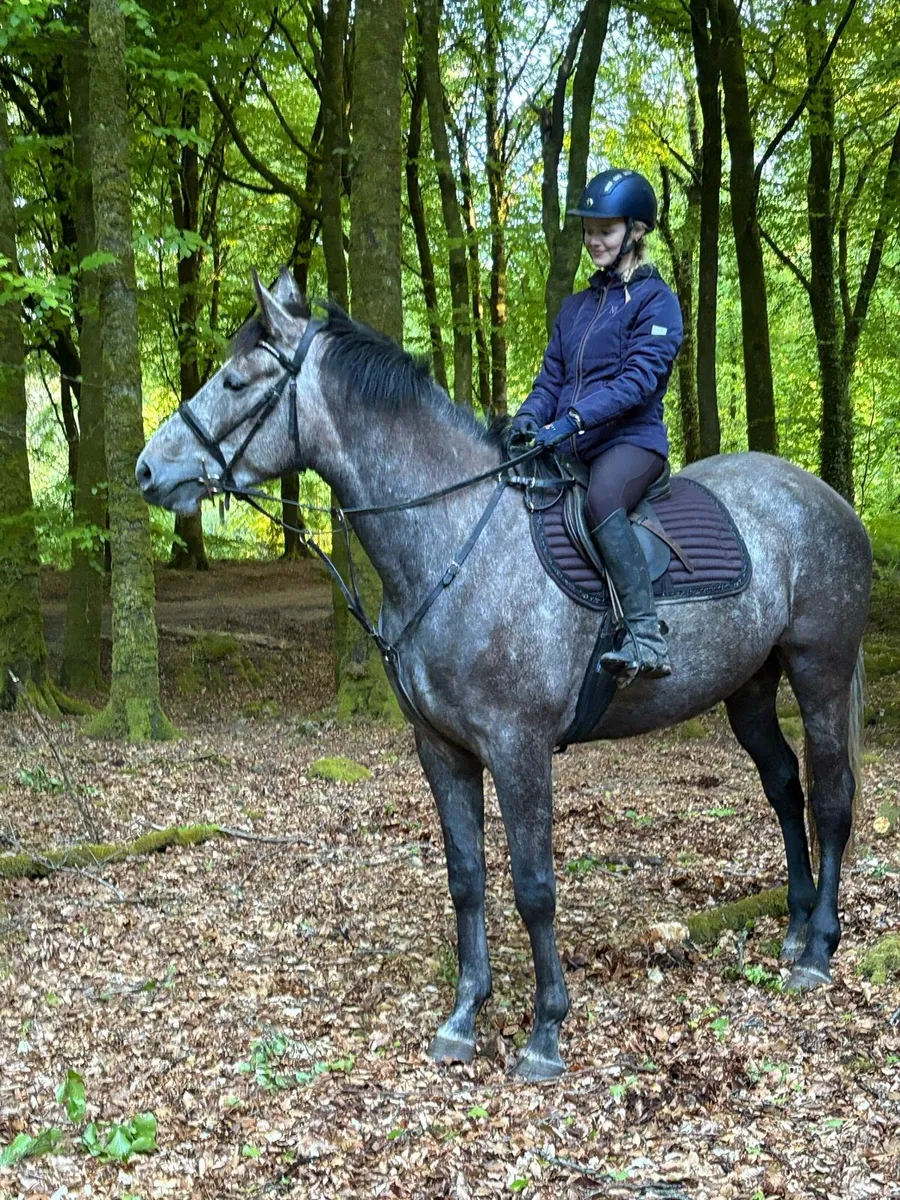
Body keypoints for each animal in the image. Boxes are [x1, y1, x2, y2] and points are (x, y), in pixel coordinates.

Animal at [136, 269, 871, 1081]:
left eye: (236, 381)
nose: (148, 470)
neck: (454, 539)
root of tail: (825, 498)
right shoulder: (442, 750)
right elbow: (466, 877)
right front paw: (464, 1016)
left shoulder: (519, 749)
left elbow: (534, 886)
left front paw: (546, 1031)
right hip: (749, 688)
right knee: (783, 786)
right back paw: (795, 926)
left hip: (820, 671)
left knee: (831, 798)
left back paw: (819, 949)